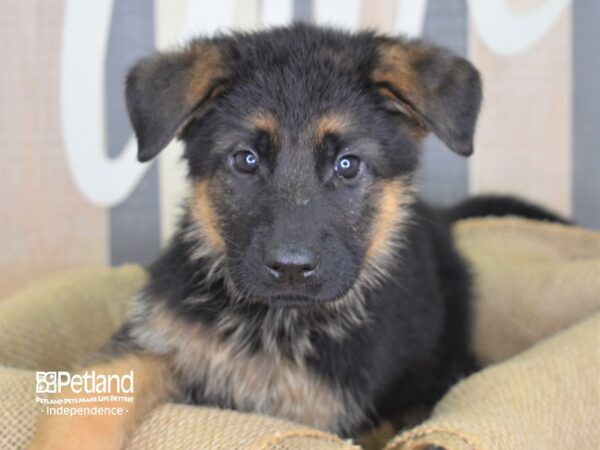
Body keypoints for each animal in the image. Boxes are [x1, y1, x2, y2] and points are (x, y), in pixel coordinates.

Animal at [32, 25, 564, 450]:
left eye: (347, 165)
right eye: (246, 159)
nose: (291, 268)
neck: (273, 326)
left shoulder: (329, 415)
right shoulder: (154, 344)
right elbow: (85, 402)